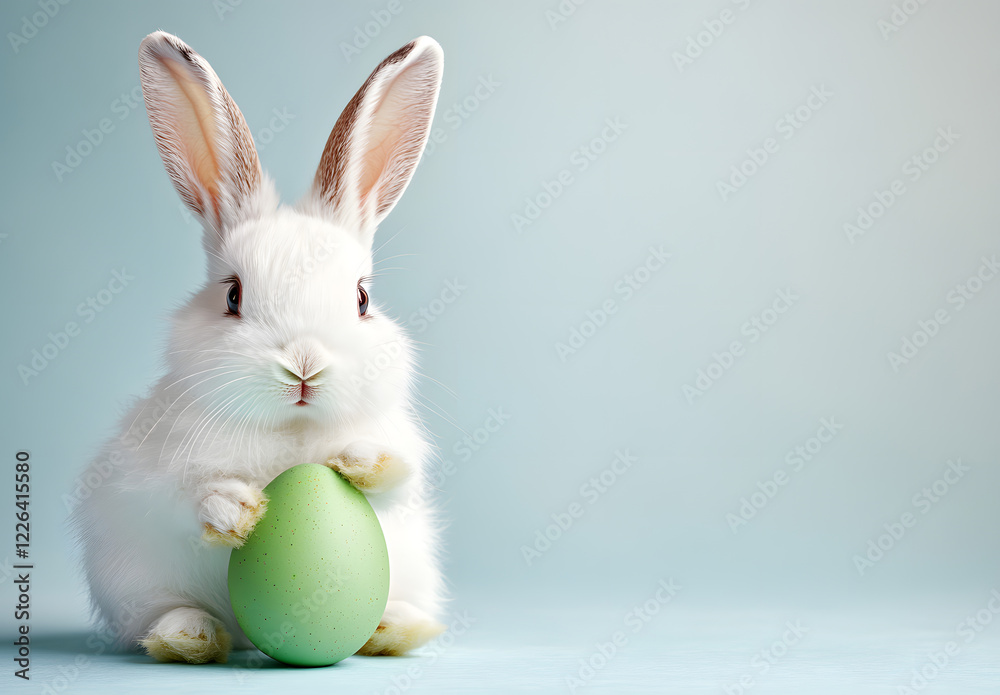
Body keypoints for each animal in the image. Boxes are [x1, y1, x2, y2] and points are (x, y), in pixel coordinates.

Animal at [68, 30, 447, 664]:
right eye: (233, 295)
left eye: (363, 298)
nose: (304, 367)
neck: (290, 433)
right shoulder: (148, 475)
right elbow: (185, 496)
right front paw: (236, 510)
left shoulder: (404, 468)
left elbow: (398, 475)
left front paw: (359, 460)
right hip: (134, 582)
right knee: (162, 613)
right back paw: (188, 636)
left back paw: (396, 629)